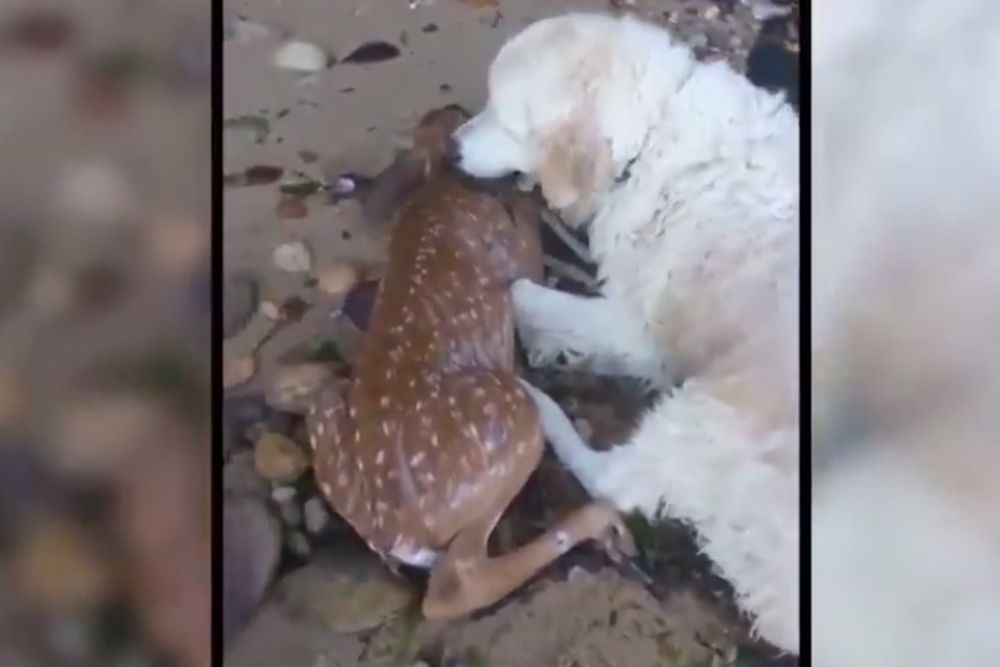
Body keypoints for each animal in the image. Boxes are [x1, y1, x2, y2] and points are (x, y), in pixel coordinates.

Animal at [458, 13, 800, 656]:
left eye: (501, 114)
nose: (452, 145)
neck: (654, 134)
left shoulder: (638, 325)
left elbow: (522, 293)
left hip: (708, 413)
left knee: (614, 483)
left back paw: (539, 405)